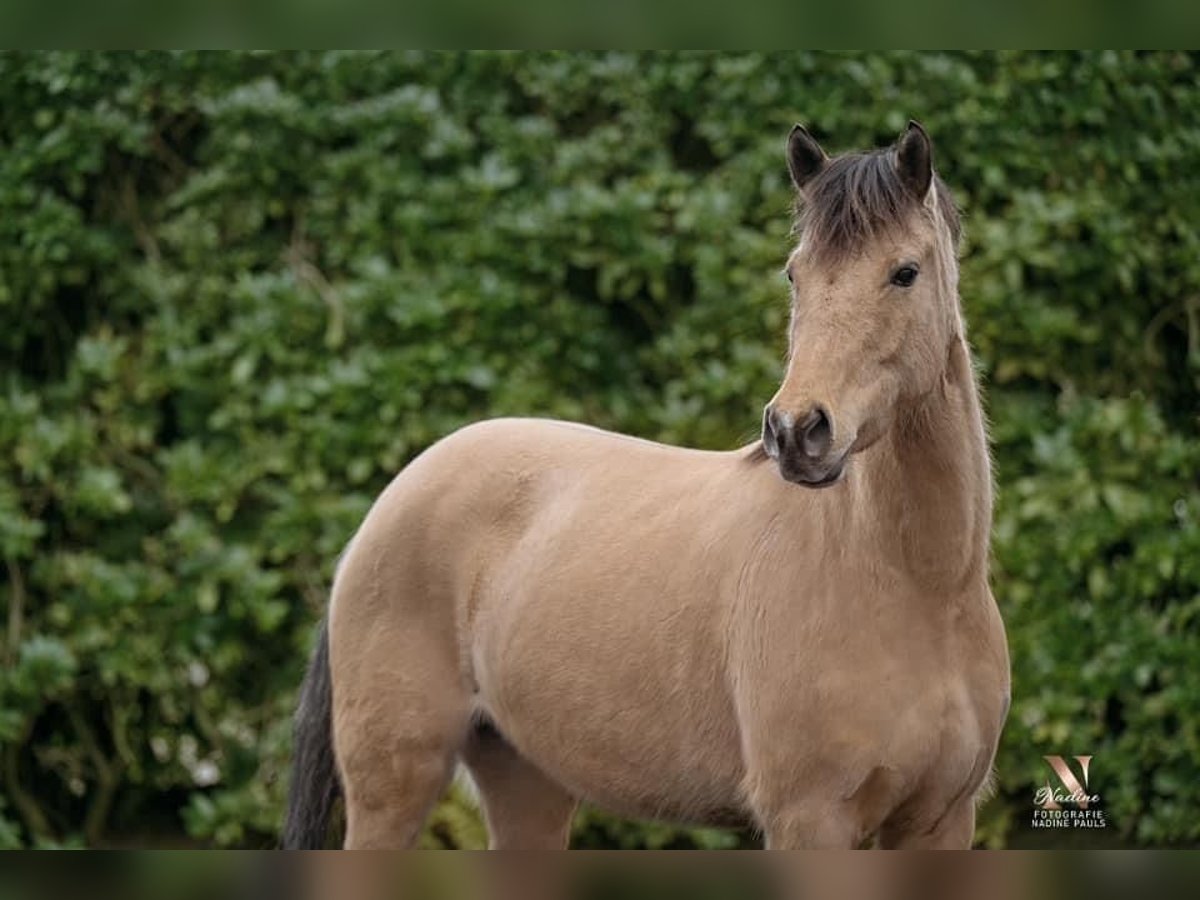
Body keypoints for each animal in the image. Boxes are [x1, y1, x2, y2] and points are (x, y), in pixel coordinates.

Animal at [283, 121, 1012, 854]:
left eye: (905, 272)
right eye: (795, 274)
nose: (797, 430)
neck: (916, 588)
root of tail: (388, 504)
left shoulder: (941, 822)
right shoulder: (810, 820)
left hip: (526, 780)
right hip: (392, 789)